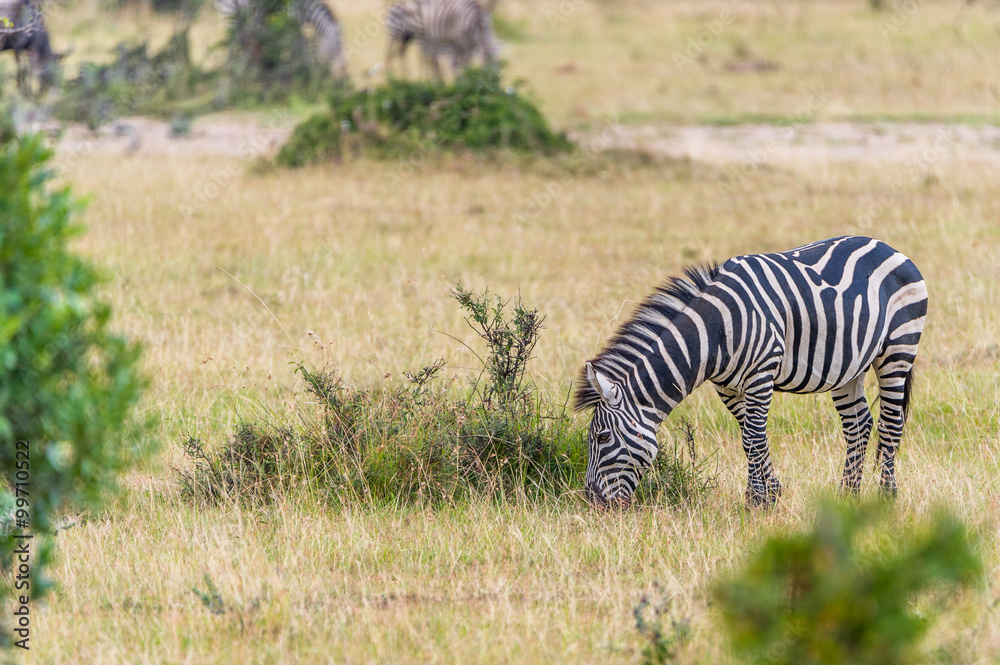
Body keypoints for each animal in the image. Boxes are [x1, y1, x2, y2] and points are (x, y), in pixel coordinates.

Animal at [574, 236, 928, 509]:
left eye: (602, 438)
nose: (593, 503)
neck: (715, 332)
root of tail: (887, 246)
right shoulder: (727, 387)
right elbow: (748, 437)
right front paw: (769, 493)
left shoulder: (761, 374)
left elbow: (753, 437)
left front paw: (757, 501)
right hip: (848, 366)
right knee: (858, 424)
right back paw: (848, 496)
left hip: (898, 349)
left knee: (890, 424)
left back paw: (886, 496)